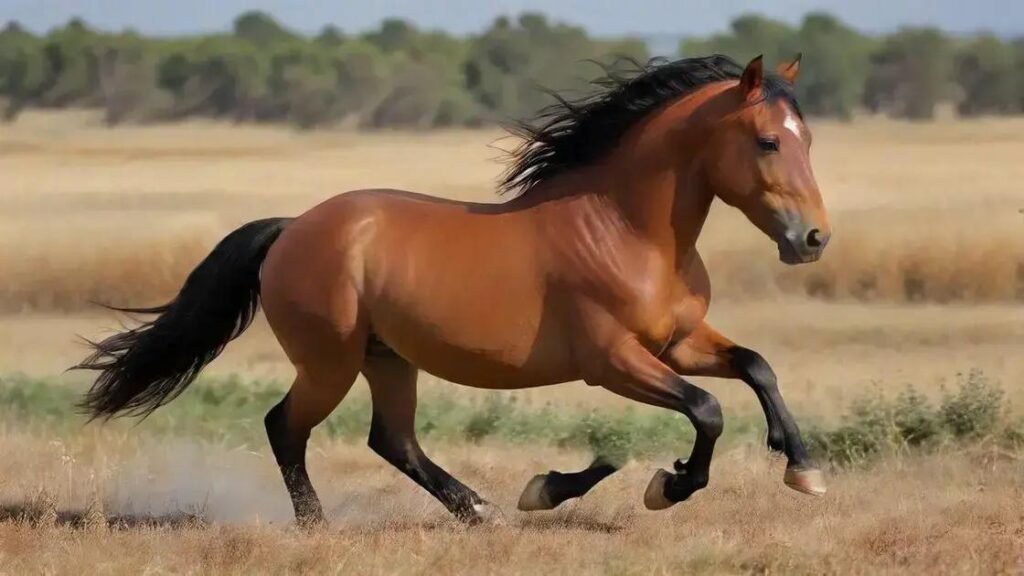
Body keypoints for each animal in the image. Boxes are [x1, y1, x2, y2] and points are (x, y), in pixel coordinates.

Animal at [73, 53, 831, 526]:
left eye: (808, 139)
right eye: (768, 141)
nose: (813, 239)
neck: (626, 229)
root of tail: (292, 229)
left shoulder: (677, 342)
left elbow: (757, 368)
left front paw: (803, 470)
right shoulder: (612, 361)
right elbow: (707, 409)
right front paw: (662, 486)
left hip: (386, 359)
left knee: (392, 440)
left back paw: (484, 508)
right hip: (330, 362)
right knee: (286, 427)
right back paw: (320, 523)